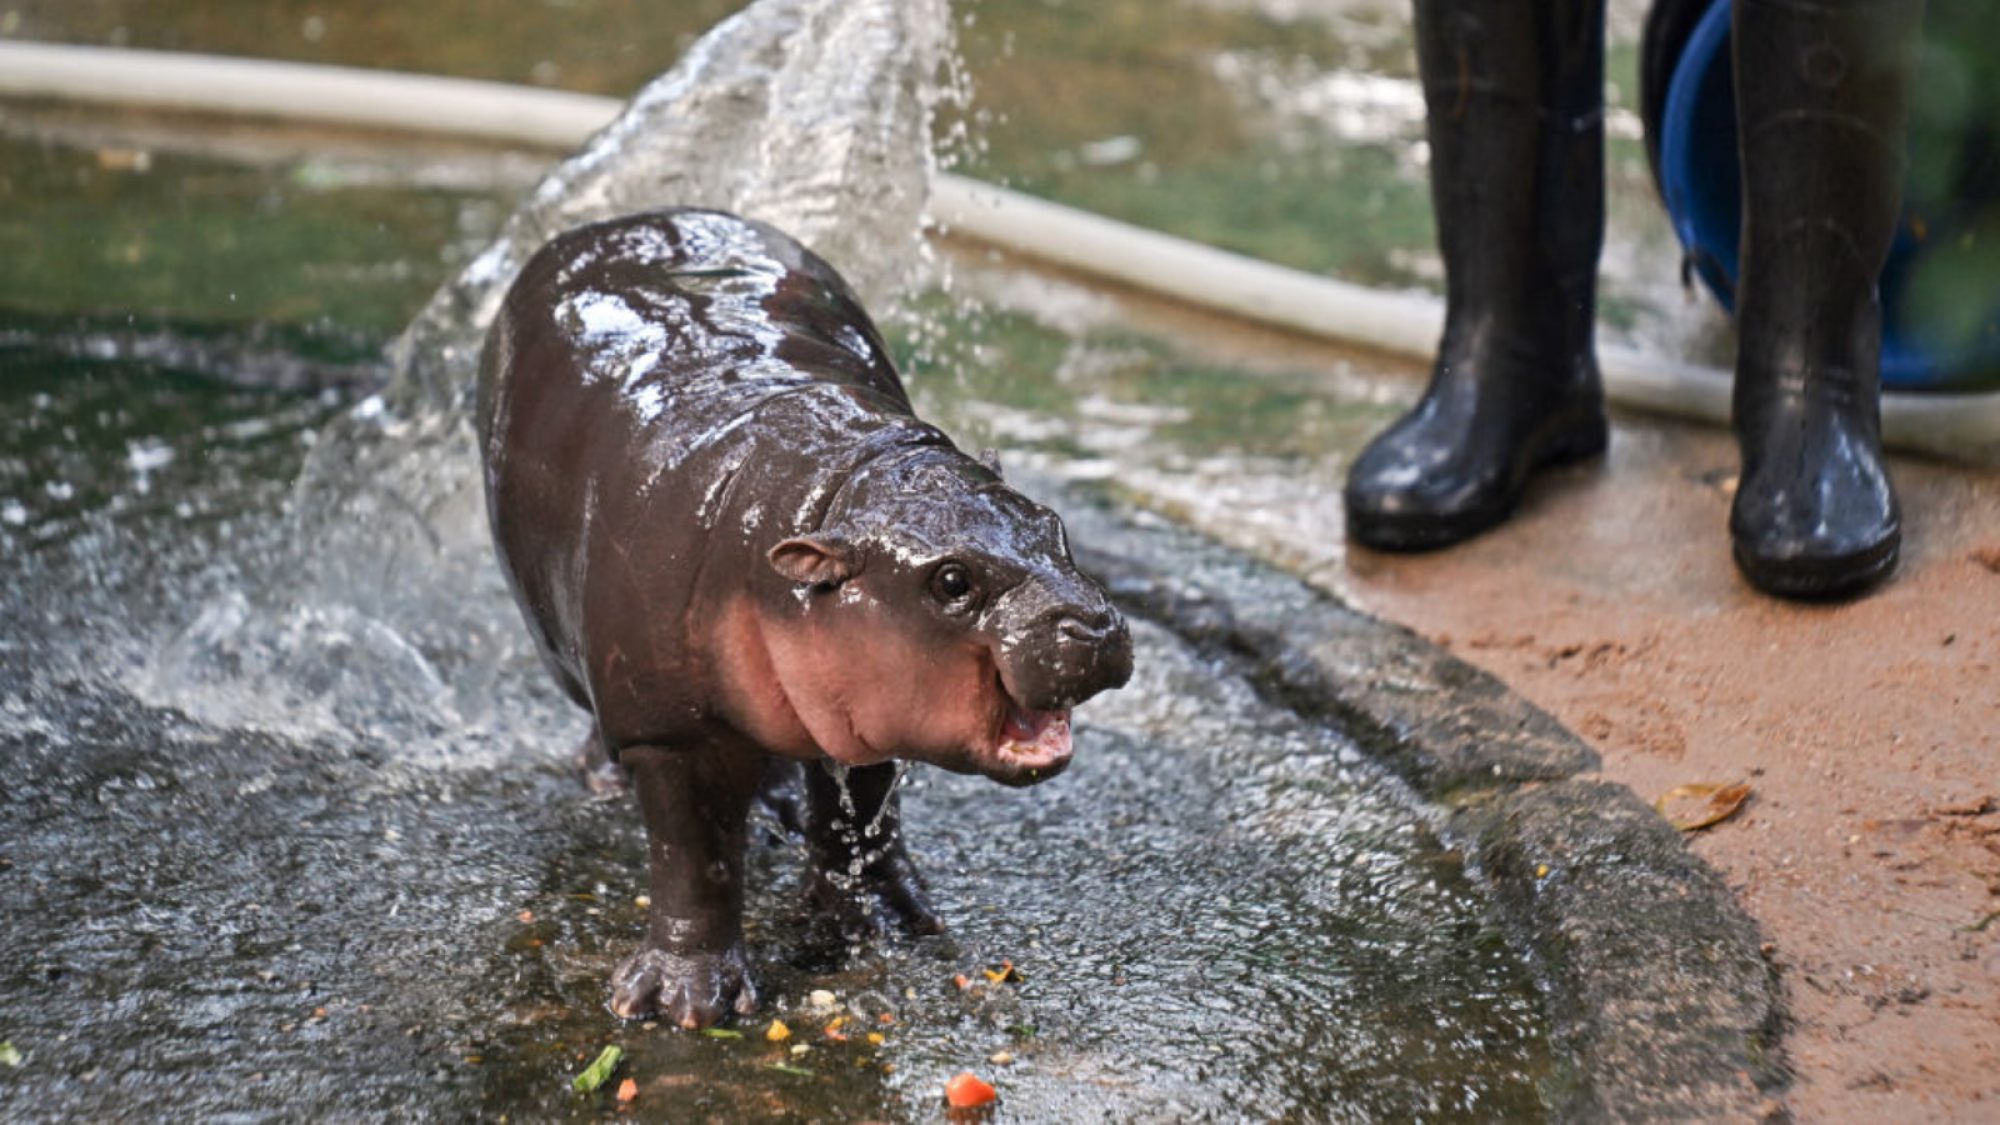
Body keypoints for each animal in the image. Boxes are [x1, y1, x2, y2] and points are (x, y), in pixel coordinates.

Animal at [478, 206, 1136, 1020]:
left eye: (1053, 525)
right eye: (952, 581)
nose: (1094, 625)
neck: (829, 490)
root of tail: (625, 220)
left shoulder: (869, 700)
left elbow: (863, 816)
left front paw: (887, 922)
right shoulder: (669, 731)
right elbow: (694, 859)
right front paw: (684, 1003)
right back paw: (606, 782)